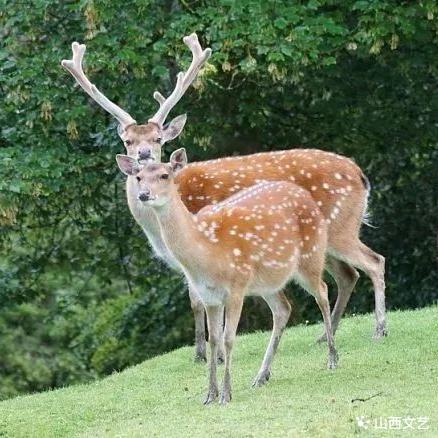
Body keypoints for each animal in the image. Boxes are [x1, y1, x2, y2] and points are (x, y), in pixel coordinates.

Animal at [62, 33, 386, 362]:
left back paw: (379, 329)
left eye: (157, 139)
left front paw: (207, 354)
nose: (143, 155)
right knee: (347, 275)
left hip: (340, 227)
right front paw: (201, 353)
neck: (157, 229)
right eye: (128, 141)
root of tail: (360, 174)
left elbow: (198, 301)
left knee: (374, 261)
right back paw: (324, 336)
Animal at [114, 150, 338, 404]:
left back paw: (332, 358)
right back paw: (261, 376)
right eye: (139, 177)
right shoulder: (209, 296)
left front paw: (226, 394)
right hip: (267, 281)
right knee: (283, 309)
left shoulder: (236, 286)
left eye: (164, 175)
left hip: (311, 256)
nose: (143, 194)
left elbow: (229, 338)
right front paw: (210, 395)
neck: (206, 250)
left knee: (323, 291)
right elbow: (214, 339)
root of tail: (307, 197)